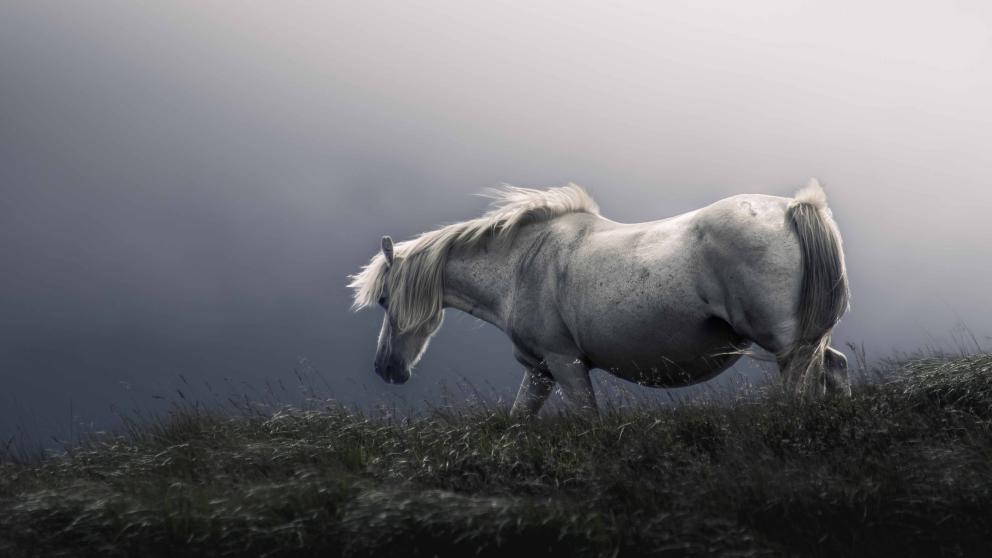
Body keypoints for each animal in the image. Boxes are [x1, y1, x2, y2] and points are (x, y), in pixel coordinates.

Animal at [346, 182, 844, 418]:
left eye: (385, 300)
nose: (385, 368)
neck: (522, 263)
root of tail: (792, 209)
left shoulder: (565, 363)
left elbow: (588, 419)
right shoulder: (540, 371)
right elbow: (517, 420)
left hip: (786, 346)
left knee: (801, 388)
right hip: (805, 339)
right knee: (833, 369)